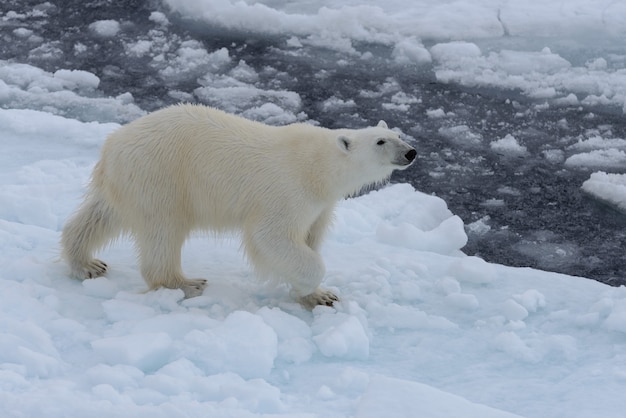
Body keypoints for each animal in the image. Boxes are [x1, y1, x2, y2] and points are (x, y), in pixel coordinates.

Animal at [61, 103, 414, 306]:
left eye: (398, 133)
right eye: (380, 141)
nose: (411, 152)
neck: (318, 167)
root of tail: (112, 145)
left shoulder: (320, 205)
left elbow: (311, 237)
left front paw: (319, 295)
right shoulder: (288, 191)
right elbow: (272, 237)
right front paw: (313, 285)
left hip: (130, 181)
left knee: (100, 216)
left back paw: (86, 262)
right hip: (162, 176)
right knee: (163, 230)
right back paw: (186, 283)